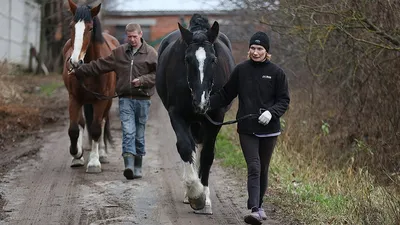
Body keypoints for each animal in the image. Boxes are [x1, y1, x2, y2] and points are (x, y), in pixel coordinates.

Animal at [61, 0, 119, 173]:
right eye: (71, 26)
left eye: (91, 28)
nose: (74, 62)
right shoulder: (74, 98)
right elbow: (74, 129)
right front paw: (76, 154)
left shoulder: (101, 100)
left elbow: (96, 128)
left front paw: (94, 162)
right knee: (81, 123)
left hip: (107, 101)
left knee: (102, 123)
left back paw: (102, 154)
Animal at [155, 14, 234, 214]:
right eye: (187, 59)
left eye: (213, 59)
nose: (201, 101)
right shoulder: (176, 114)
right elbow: (185, 147)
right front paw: (195, 195)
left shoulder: (216, 117)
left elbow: (207, 155)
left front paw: (204, 198)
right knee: (191, 147)